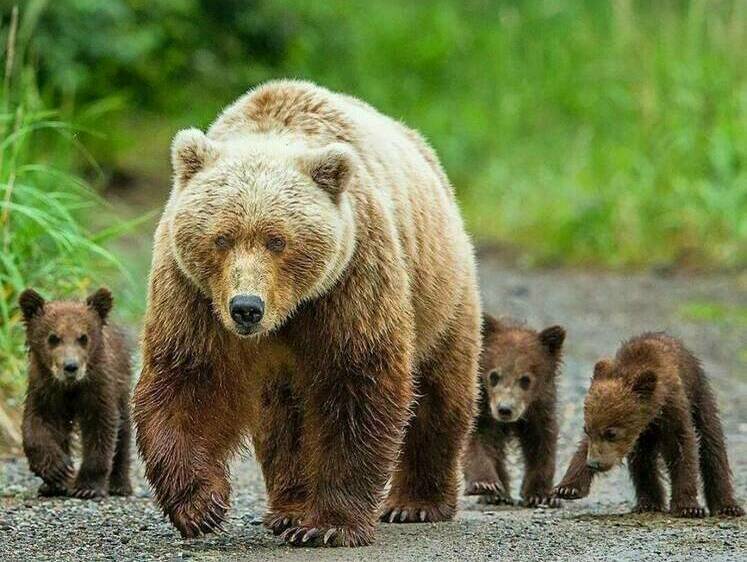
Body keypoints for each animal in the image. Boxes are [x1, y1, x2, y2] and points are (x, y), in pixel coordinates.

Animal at [131, 81, 482, 544]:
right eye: (221, 238)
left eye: (277, 240)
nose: (246, 308)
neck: (289, 312)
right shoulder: (193, 294)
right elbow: (189, 379)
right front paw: (200, 504)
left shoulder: (351, 277)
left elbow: (357, 383)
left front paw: (331, 524)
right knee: (284, 421)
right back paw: (289, 509)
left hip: (441, 293)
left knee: (441, 394)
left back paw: (416, 503)